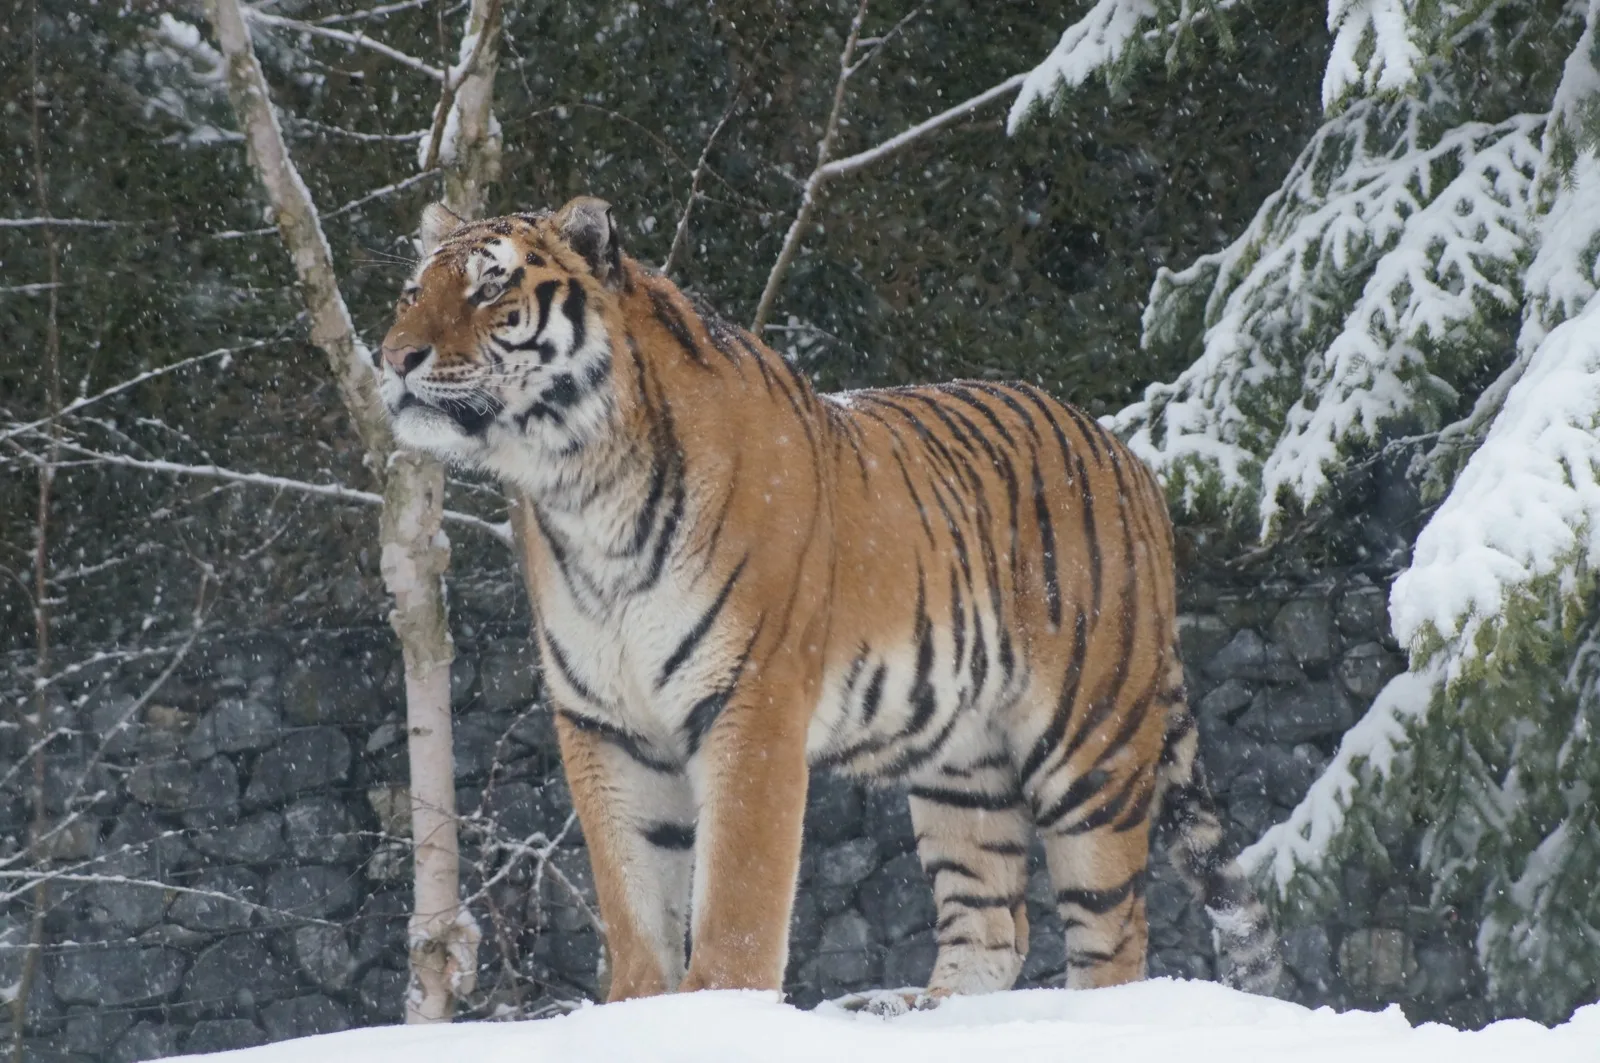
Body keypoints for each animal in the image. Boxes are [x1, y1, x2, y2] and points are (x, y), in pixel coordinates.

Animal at [376, 195, 1282, 1005]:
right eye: (412, 291)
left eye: (490, 289)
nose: (394, 358)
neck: (582, 487)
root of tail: (1129, 456)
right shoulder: (605, 721)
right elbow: (633, 894)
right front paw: (637, 1011)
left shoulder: (751, 697)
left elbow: (739, 889)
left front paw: (716, 1008)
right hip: (964, 765)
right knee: (993, 920)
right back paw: (920, 1008)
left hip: (1091, 743)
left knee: (1113, 932)